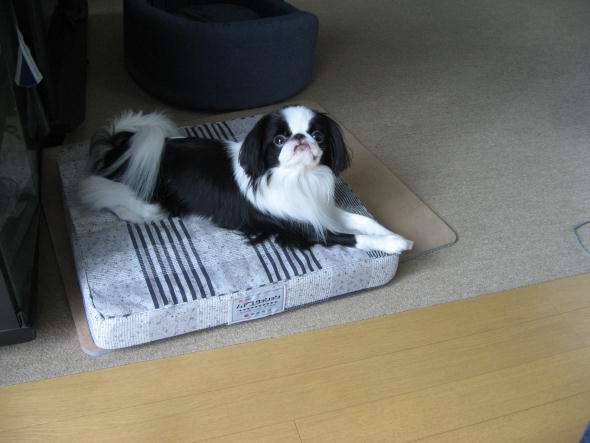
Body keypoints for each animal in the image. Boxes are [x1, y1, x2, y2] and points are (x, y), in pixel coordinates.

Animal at [79, 105, 413, 254]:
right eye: (278, 140)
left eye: (318, 135)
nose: (300, 139)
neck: (298, 177)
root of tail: (120, 146)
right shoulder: (302, 228)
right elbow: (351, 236)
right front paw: (394, 244)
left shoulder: (321, 211)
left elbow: (364, 221)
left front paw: (395, 234)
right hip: (144, 197)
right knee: (107, 198)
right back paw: (137, 215)